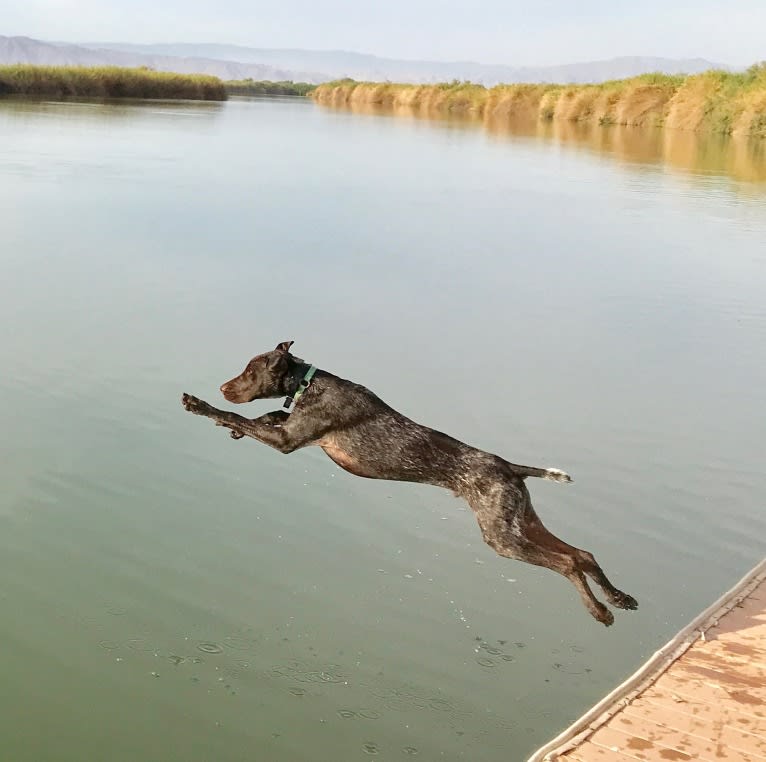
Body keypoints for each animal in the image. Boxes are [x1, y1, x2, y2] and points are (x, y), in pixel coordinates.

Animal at [183, 340, 640, 624]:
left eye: (249, 372)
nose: (223, 387)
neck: (311, 383)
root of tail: (511, 467)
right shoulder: (291, 430)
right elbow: (267, 416)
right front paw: (236, 425)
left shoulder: (288, 442)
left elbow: (241, 416)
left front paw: (202, 406)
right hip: (522, 522)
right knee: (582, 553)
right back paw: (619, 598)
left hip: (501, 537)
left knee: (567, 563)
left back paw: (601, 612)